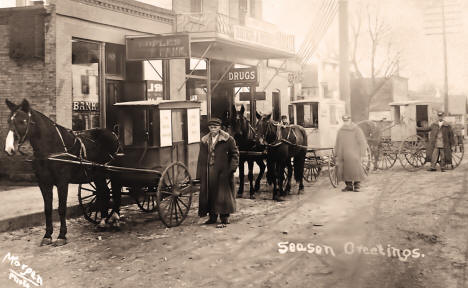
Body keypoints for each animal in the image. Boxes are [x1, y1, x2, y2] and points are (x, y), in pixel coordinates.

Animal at [4, 99, 119, 245]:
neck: (51, 149)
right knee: (104, 192)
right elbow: (47, 209)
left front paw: (61, 235)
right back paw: (102, 222)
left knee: (114, 192)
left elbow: (61, 208)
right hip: (98, 175)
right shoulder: (43, 183)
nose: (9, 148)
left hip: (112, 173)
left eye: (23, 121)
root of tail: (113, 134)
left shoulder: (62, 182)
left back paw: (115, 219)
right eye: (9, 120)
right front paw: (47, 235)